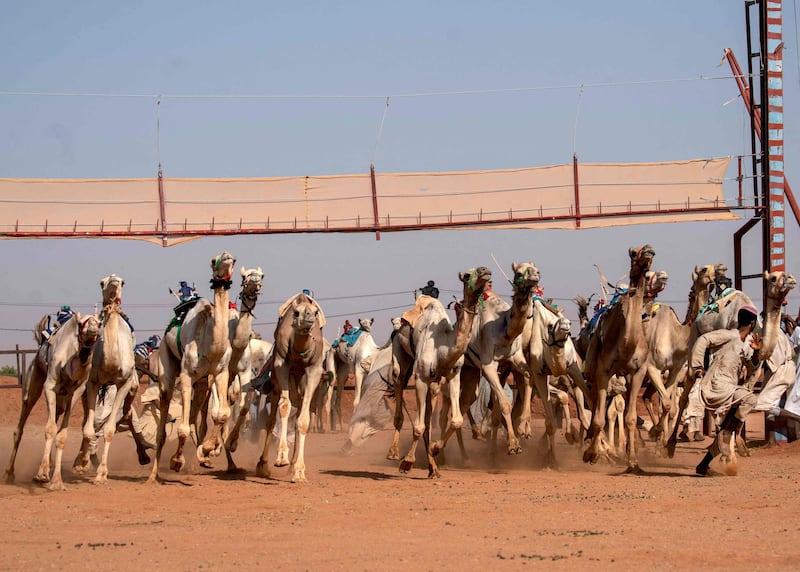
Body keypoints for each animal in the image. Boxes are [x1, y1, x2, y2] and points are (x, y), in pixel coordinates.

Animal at [2, 310, 101, 490]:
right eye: (81, 323)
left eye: (99, 323)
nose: (92, 330)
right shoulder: (50, 386)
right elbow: (49, 429)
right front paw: (41, 475)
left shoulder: (76, 392)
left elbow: (62, 435)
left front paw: (56, 481)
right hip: (33, 380)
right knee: (20, 426)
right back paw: (9, 474)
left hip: (62, 400)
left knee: (56, 417)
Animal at [146, 251, 234, 482]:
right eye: (213, 260)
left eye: (233, 259)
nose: (226, 256)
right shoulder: (186, 374)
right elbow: (182, 428)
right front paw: (177, 461)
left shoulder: (220, 372)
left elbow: (222, 414)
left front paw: (207, 450)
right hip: (166, 365)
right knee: (163, 426)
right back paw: (152, 475)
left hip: (202, 383)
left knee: (195, 416)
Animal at [256, 290, 324, 482]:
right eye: (296, 313)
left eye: (315, 312)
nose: (308, 317)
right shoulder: (281, 364)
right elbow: (284, 407)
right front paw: (281, 458)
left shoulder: (314, 370)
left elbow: (303, 421)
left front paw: (299, 471)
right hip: (275, 384)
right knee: (270, 420)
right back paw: (263, 465)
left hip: (299, 388)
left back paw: (292, 467)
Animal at [388, 268, 494, 478]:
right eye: (467, 275)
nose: (485, 271)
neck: (444, 345)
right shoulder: (421, 378)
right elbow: (419, 426)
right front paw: (408, 462)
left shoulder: (453, 375)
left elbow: (455, 420)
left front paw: (435, 448)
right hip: (400, 355)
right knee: (399, 384)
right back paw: (394, 453)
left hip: (436, 383)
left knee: (431, 418)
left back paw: (433, 467)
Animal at [580, 244, 656, 472]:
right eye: (632, 252)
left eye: (652, 252)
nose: (648, 251)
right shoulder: (604, 370)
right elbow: (598, 418)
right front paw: (592, 454)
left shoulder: (638, 372)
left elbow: (630, 418)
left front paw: (633, 462)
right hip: (592, 371)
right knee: (593, 402)